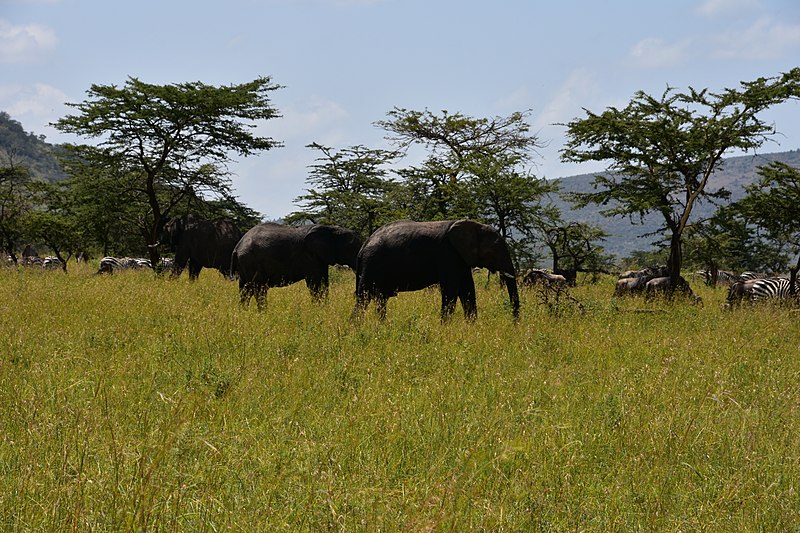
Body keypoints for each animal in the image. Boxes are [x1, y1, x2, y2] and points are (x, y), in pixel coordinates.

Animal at [231, 222, 362, 310]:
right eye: (352, 248)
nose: (354, 295)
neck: (331, 229)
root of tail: (237, 247)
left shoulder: (320, 259)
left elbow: (324, 283)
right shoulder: (310, 257)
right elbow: (315, 284)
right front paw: (318, 310)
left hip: (245, 265)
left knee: (245, 290)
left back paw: (243, 312)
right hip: (251, 262)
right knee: (259, 289)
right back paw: (264, 313)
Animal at [354, 219, 520, 322]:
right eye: (494, 250)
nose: (514, 324)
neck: (473, 225)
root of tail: (363, 246)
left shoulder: (461, 258)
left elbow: (467, 290)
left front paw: (472, 326)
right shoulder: (448, 254)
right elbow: (451, 290)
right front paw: (445, 327)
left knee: (380, 299)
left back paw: (381, 325)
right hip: (372, 264)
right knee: (363, 298)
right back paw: (356, 328)